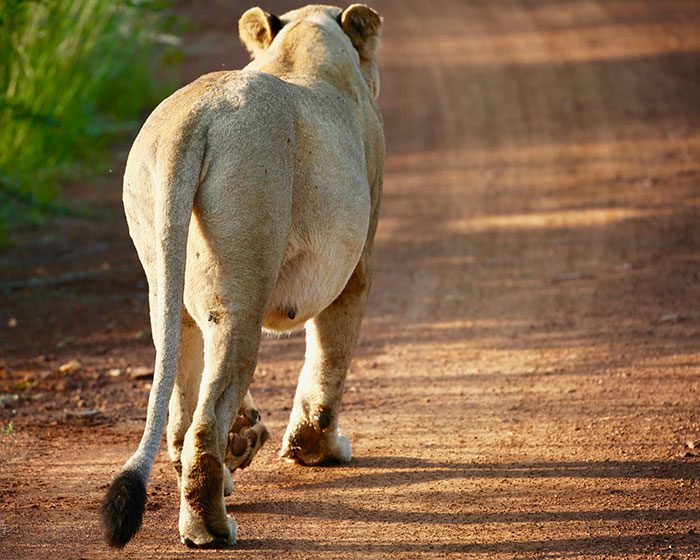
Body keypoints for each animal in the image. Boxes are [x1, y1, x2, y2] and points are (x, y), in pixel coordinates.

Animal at [100, 3, 384, 549]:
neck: (303, 43)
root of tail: (192, 119)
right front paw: (316, 447)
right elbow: (330, 358)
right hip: (243, 284)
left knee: (182, 398)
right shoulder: (358, 265)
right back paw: (210, 526)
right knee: (206, 416)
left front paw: (249, 434)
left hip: (166, 271)